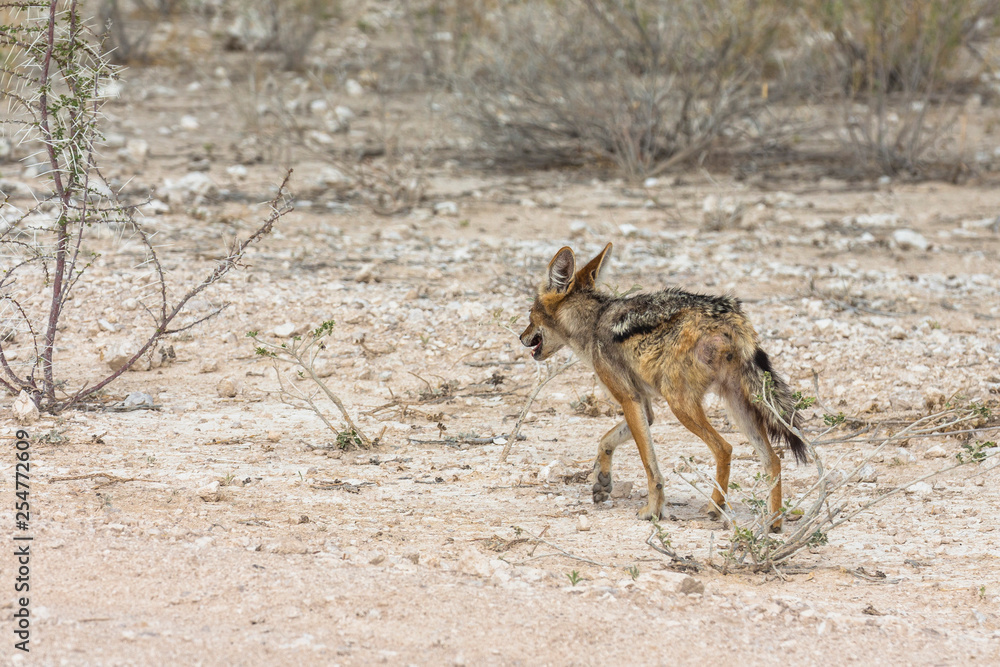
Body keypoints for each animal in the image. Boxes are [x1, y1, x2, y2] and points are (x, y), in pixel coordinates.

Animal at [519, 242, 806, 531]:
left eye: (529, 314)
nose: (521, 337)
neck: (593, 322)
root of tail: (733, 317)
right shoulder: (643, 406)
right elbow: (606, 440)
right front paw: (602, 480)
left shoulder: (629, 399)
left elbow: (650, 466)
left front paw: (653, 510)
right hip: (738, 407)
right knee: (773, 460)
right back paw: (774, 523)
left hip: (681, 405)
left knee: (725, 448)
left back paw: (716, 507)